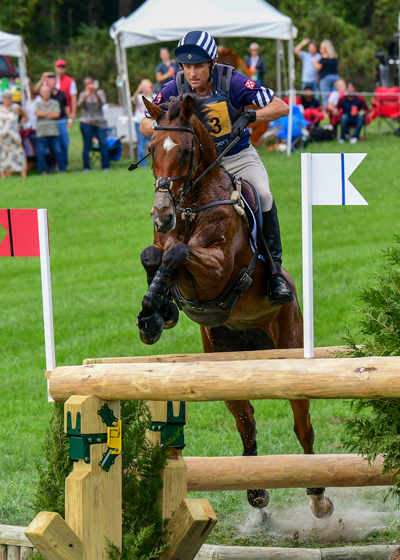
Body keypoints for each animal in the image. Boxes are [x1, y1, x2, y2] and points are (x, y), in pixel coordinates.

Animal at [136, 94, 332, 520]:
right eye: (151, 149)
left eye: (186, 151)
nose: (161, 213)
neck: (191, 206)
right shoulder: (168, 249)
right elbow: (154, 255)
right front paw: (155, 315)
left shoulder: (219, 268)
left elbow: (177, 253)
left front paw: (155, 305)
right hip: (224, 359)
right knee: (245, 419)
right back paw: (257, 493)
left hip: (290, 346)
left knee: (302, 425)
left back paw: (318, 496)